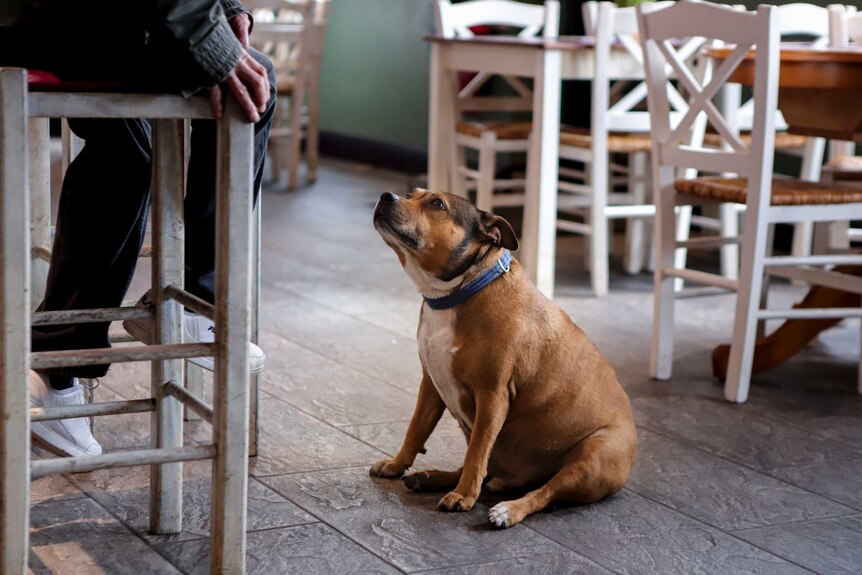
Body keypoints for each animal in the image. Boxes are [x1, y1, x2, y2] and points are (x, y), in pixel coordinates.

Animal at [368, 190, 636, 532]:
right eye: (412, 194)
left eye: (437, 204)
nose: (387, 195)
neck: (459, 291)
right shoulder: (431, 385)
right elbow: (416, 429)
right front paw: (396, 465)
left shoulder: (492, 397)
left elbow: (477, 452)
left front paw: (464, 498)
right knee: (487, 471)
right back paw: (432, 478)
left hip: (590, 459)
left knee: (543, 492)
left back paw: (507, 510)